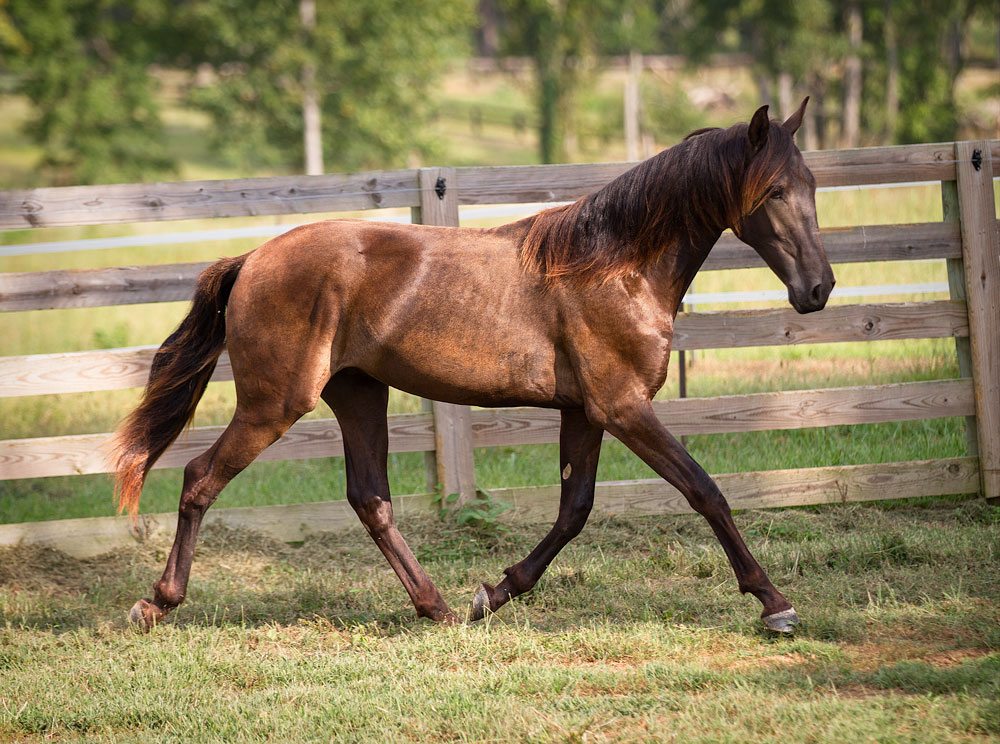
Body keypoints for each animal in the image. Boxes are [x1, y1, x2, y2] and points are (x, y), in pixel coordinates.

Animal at [113, 99, 836, 632]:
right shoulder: (624, 406)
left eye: (811, 186)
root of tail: (251, 260)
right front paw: (774, 603)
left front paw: (496, 591)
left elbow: (574, 509)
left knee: (370, 499)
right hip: (275, 403)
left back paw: (438, 607)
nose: (819, 288)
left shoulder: (586, 412)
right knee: (201, 478)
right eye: (774, 191)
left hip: (358, 393)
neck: (616, 266)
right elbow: (704, 490)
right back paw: (157, 603)